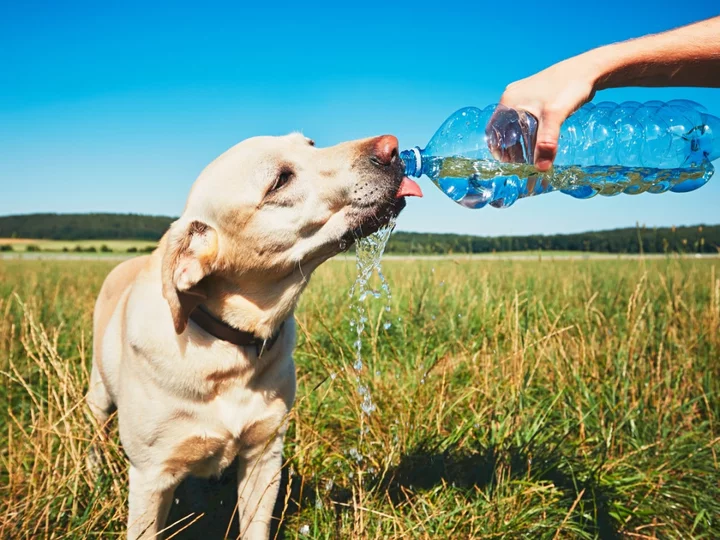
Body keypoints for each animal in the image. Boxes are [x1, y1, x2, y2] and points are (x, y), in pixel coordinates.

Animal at [86, 132, 422, 540]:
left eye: (310, 143)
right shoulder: (151, 476)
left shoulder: (265, 455)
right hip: (98, 395)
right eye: (280, 181)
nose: (392, 146)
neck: (229, 347)